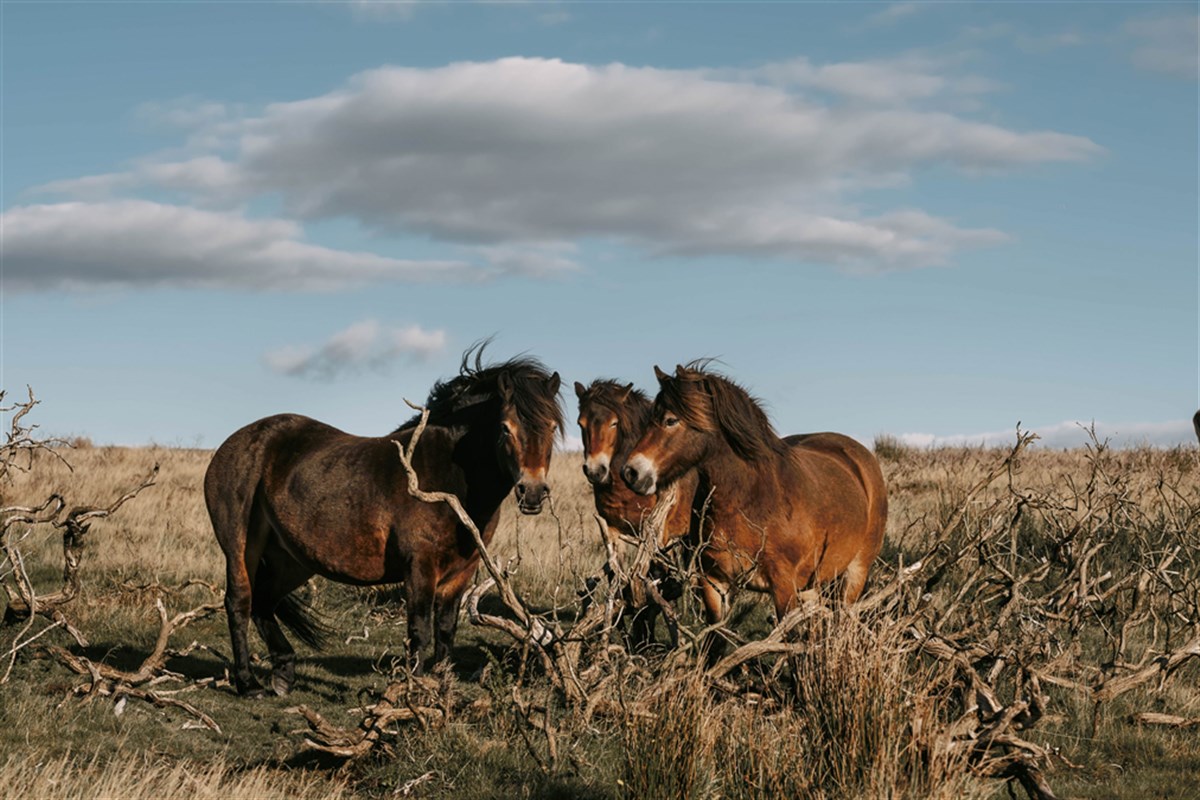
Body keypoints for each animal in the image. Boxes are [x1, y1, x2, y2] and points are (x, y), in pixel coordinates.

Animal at [204, 347, 562, 696]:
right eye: (505, 428)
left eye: (552, 427)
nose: (532, 491)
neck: (447, 478)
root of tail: (233, 444)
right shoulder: (419, 567)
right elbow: (419, 631)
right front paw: (415, 694)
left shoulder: (462, 571)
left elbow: (446, 631)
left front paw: (443, 693)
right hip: (242, 548)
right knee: (240, 602)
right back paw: (248, 683)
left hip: (292, 559)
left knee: (264, 601)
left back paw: (284, 672)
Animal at [574, 379, 698, 647]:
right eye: (581, 423)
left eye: (614, 423)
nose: (595, 471)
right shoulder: (612, 532)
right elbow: (618, 581)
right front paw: (627, 632)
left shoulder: (654, 536)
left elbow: (650, 581)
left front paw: (645, 635)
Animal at [621, 363, 887, 652]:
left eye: (671, 420)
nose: (631, 472)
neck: (748, 499)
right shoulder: (714, 583)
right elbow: (716, 644)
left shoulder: (783, 588)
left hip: (854, 575)